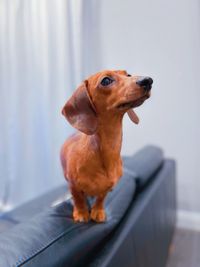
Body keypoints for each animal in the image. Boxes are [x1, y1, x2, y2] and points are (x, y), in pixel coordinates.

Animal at [60, 70, 152, 223]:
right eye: (106, 81)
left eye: (128, 75)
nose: (148, 80)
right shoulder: (73, 184)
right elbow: (78, 198)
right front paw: (81, 213)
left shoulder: (108, 186)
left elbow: (101, 198)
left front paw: (97, 211)